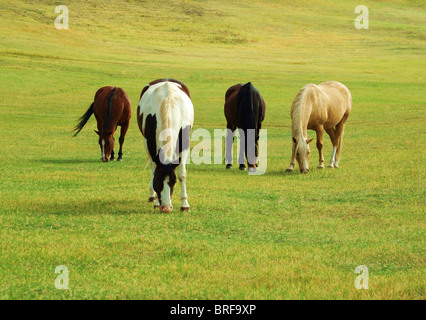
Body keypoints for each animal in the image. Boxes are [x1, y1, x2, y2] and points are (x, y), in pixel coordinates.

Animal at [136, 79, 193, 214]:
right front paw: (157, 201)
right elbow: (154, 170)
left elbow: (182, 174)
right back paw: (152, 196)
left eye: (173, 181)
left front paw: (185, 204)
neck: (168, 106)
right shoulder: (150, 144)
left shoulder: (185, 144)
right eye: (157, 180)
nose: (166, 208)